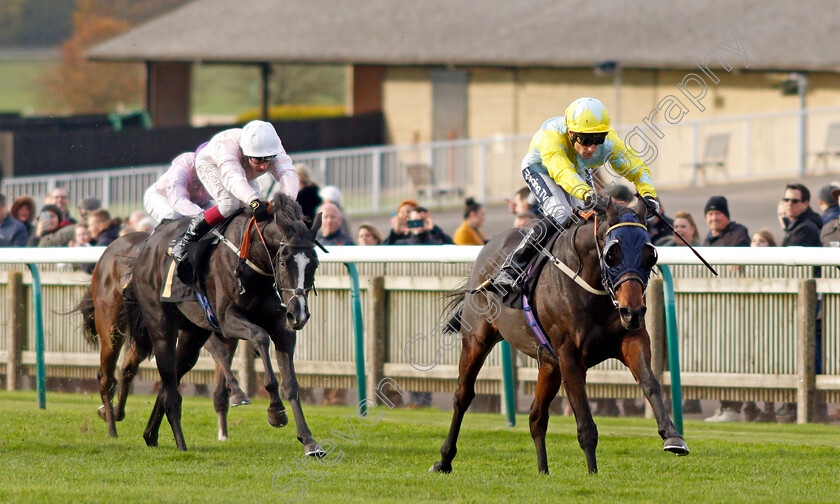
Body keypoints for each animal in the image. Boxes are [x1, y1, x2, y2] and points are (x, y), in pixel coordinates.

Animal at [75, 231, 249, 438]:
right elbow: (219, 351)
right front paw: (238, 394)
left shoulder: (227, 334)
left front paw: (224, 428)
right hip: (112, 324)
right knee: (107, 376)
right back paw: (111, 428)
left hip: (144, 333)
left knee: (127, 368)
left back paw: (115, 412)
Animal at [130, 193, 324, 452]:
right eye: (283, 262)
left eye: (314, 264)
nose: (299, 314)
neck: (253, 259)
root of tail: (147, 244)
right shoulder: (227, 320)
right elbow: (260, 337)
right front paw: (275, 410)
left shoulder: (282, 327)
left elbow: (291, 383)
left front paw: (309, 440)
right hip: (160, 326)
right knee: (170, 382)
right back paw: (180, 443)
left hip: (193, 335)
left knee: (171, 377)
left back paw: (150, 434)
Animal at [434, 199, 688, 474]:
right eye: (612, 254)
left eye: (649, 253)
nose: (633, 311)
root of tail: (488, 247)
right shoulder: (569, 356)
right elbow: (585, 422)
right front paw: (593, 473)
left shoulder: (632, 339)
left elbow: (650, 382)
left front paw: (673, 436)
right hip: (476, 340)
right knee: (463, 396)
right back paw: (444, 459)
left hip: (548, 363)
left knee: (536, 416)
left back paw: (543, 471)